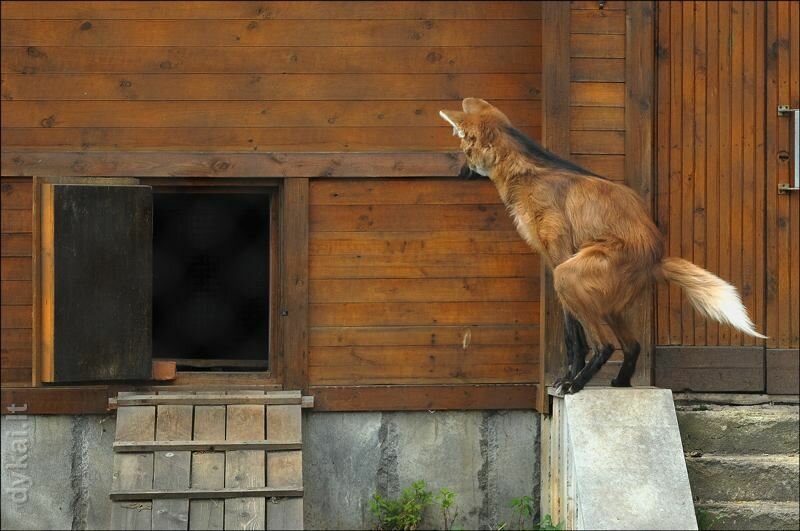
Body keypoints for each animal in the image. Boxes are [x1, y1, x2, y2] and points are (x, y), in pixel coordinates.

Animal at [440, 97, 764, 392]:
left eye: (466, 151)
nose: (461, 173)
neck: (525, 174)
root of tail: (657, 256)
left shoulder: (558, 257)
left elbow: (572, 335)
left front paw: (569, 378)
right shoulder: (555, 259)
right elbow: (575, 334)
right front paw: (571, 375)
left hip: (572, 275)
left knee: (606, 344)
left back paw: (579, 383)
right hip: (608, 300)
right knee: (633, 345)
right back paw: (621, 382)